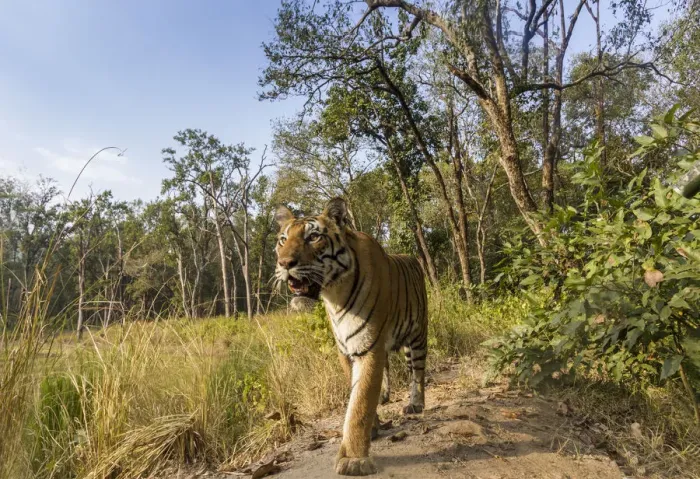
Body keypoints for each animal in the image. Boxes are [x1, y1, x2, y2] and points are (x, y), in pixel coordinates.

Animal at [274, 197, 429, 476]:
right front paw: (374, 427)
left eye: (313, 237)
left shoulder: (369, 346)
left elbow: (360, 403)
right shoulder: (346, 349)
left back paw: (416, 403)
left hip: (418, 333)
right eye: (283, 239)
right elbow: (359, 392)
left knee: (417, 371)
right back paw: (385, 396)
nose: (284, 264)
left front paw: (353, 459)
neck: (334, 295)